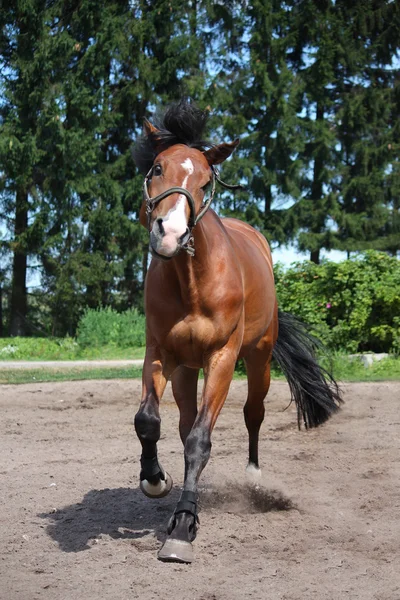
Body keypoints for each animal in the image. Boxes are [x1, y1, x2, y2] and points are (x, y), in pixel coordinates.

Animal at [132, 101, 344, 564]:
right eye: (157, 168)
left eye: (205, 181)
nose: (170, 233)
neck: (192, 281)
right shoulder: (160, 354)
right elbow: (148, 421)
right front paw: (155, 480)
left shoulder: (223, 359)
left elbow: (200, 442)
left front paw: (183, 528)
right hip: (185, 371)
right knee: (184, 421)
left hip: (259, 360)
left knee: (252, 414)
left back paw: (253, 478)